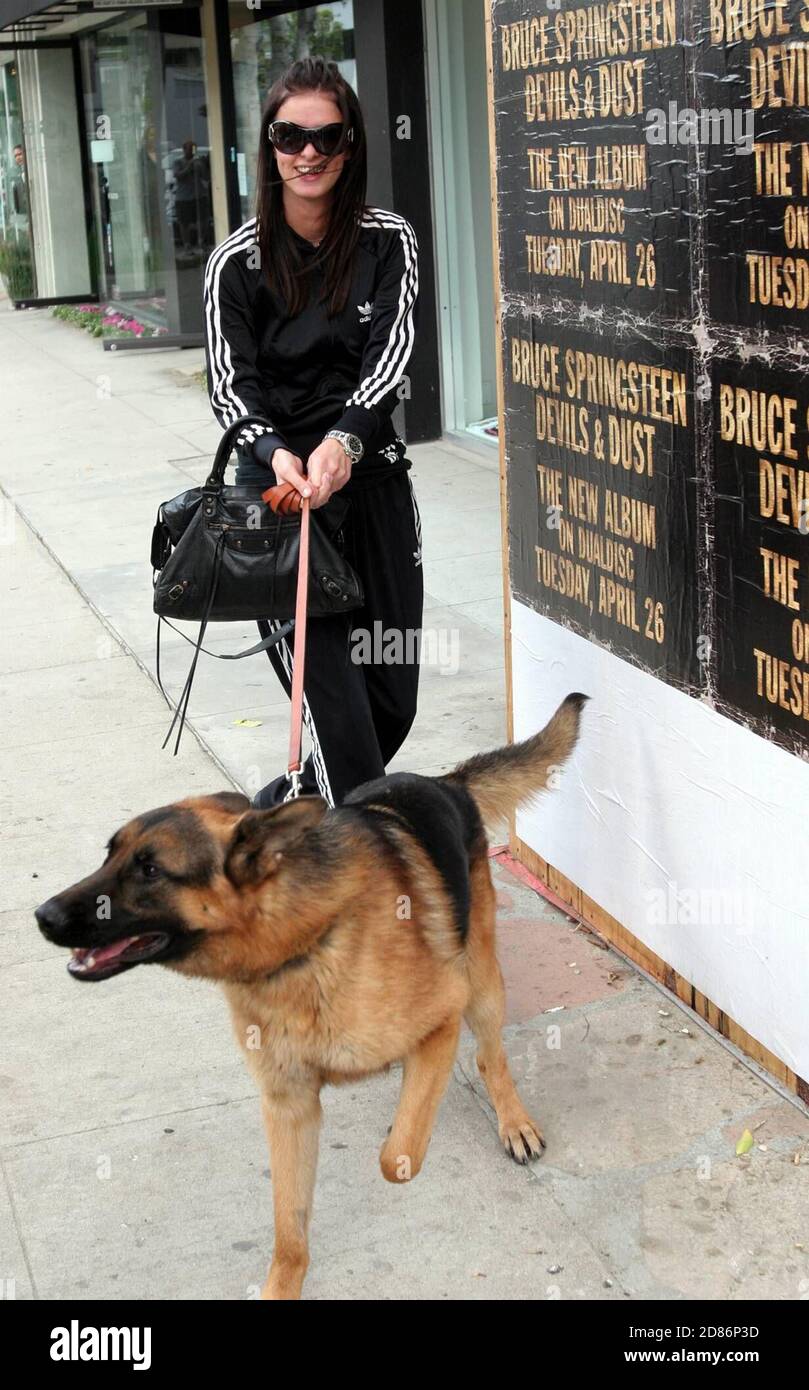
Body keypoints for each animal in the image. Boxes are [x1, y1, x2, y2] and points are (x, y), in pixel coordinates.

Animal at [34, 695, 586, 1301]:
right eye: (109, 855)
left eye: (151, 870)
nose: (43, 916)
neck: (301, 945)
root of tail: (446, 783)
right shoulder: (288, 1106)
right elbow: (288, 1228)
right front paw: (282, 1285)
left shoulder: (441, 1019)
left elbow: (397, 1157)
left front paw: (406, 1126)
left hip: (481, 982)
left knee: (490, 1056)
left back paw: (513, 1122)